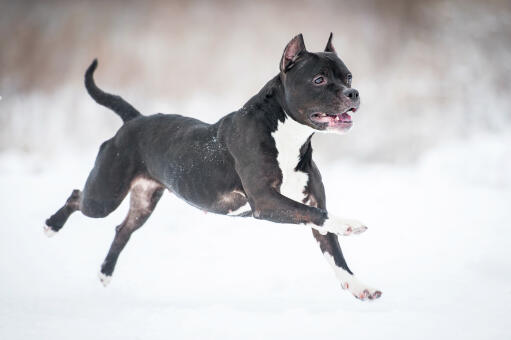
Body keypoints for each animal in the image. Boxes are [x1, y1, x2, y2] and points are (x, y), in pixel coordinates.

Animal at [45, 33, 380, 300]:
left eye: (348, 77)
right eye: (319, 79)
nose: (353, 93)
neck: (287, 136)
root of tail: (133, 120)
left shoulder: (307, 202)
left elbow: (334, 252)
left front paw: (359, 286)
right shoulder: (266, 202)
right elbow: (320, 217)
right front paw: (350, 224)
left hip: (143, 200)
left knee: (123, 229)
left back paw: (105, 272)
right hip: (104, 196)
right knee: (77, 196)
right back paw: (52, 225)